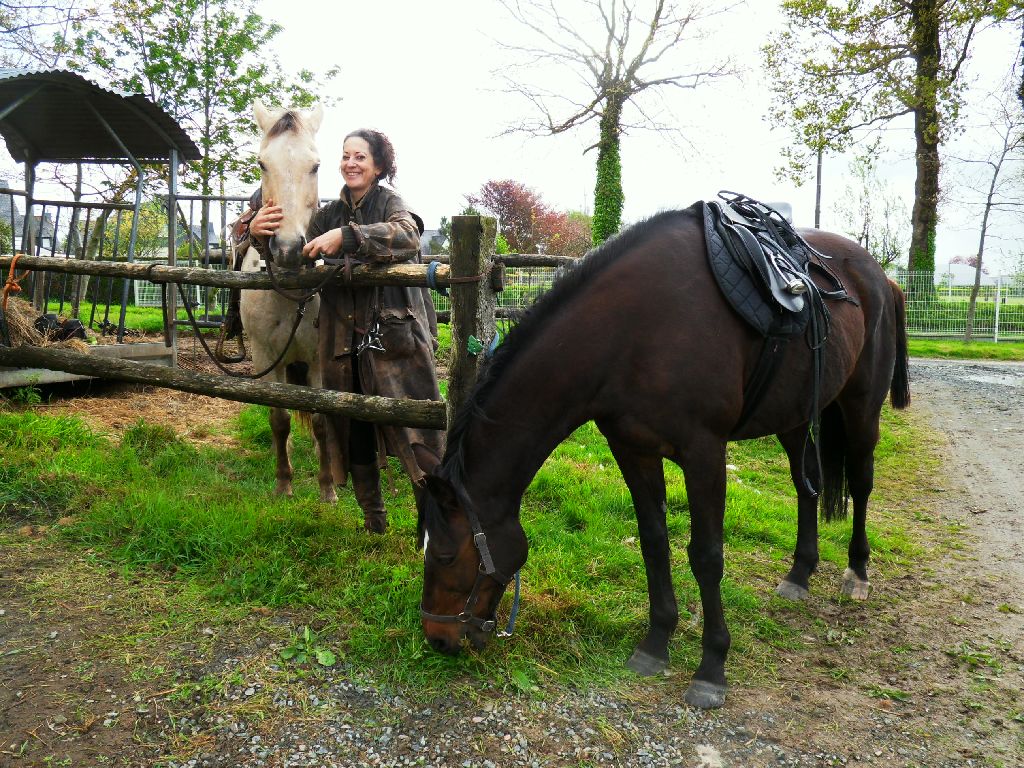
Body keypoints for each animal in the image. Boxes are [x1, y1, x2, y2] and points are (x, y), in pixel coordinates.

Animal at [418, 203, 910, 710]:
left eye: (444, 555)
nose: (436, 638)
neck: (632, 331)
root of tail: (881, 277)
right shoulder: (632, 450)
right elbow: (654, 543)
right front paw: (656, 643)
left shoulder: (704, 454)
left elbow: (707, 556)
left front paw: (712, 667)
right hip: (794, 416)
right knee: (805, 484)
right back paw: (800, 572)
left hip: (861, 407)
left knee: (862, 483)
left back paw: (857, 572)